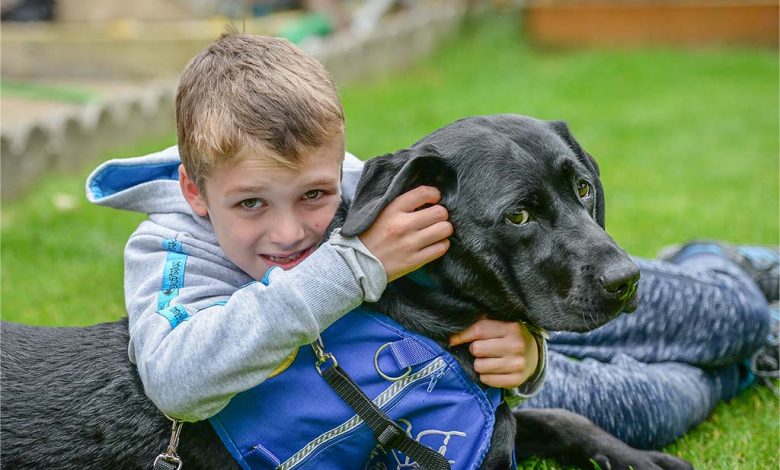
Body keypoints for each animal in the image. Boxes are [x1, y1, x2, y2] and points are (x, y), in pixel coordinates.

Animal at [0, 114, 688, 470]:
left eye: (582, 189)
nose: (627, 280)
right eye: (518, 215)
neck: (416, 322)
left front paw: (637, 457)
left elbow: (561, 415)